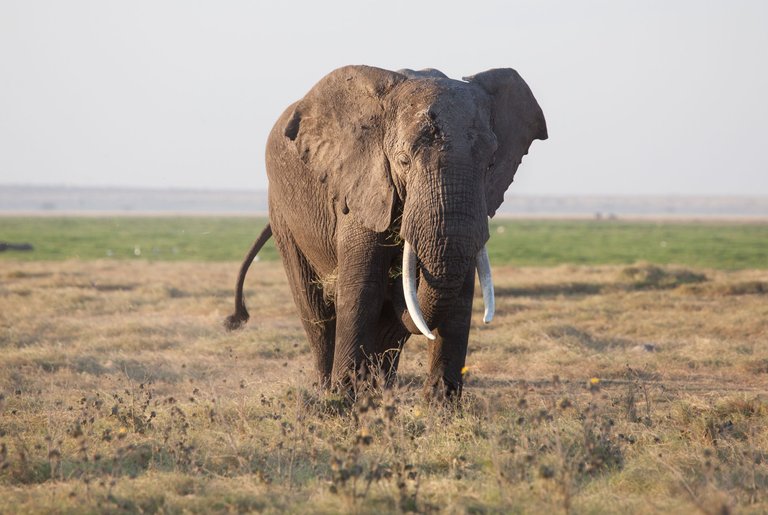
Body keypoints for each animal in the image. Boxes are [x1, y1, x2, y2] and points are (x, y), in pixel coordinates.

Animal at [226, 64, 544, 402]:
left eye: (491, 163)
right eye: (403, 161)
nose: (234, 319)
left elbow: (460, 293)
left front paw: (441, 405)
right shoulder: (362, 183)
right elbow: (362, 286)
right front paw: (343, 400)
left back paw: (379, 391)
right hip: (283, 213)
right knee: (315, 310)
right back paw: (329, 389)